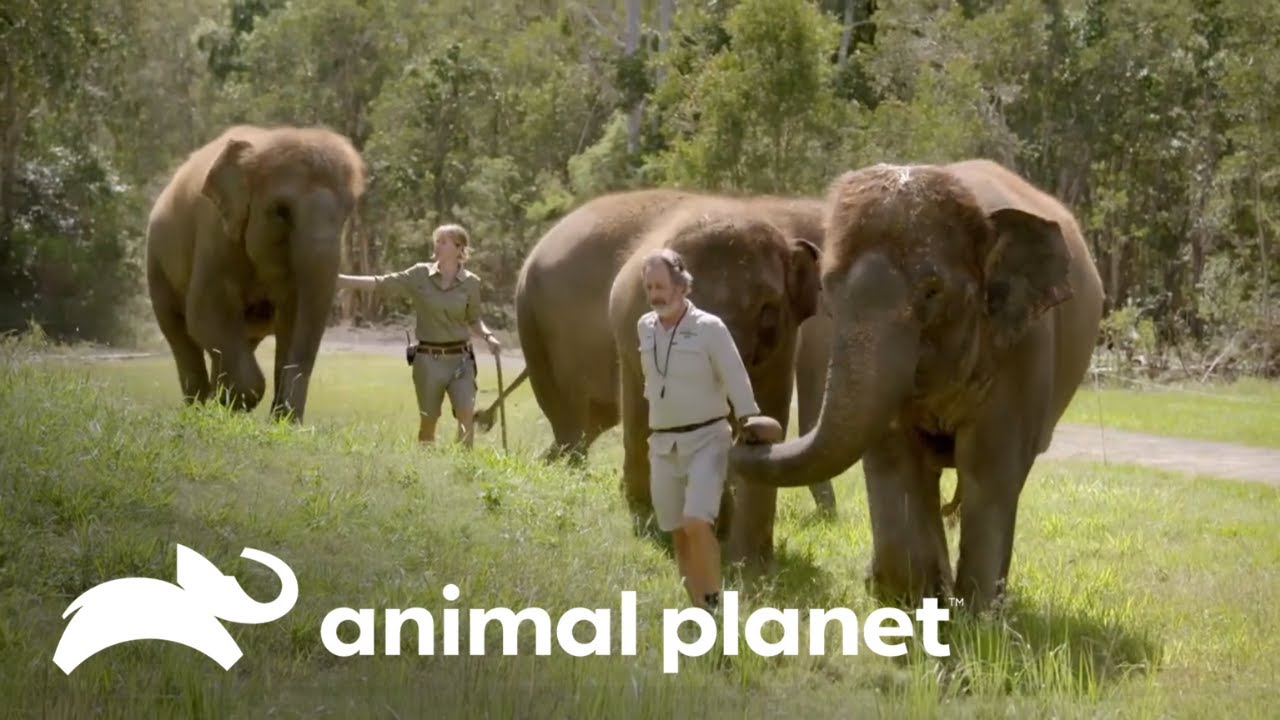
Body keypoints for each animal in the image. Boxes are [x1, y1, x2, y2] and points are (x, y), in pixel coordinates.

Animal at [145, 124, 366, 423]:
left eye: (347, 211)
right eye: (281, 212)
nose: (286, 420)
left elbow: (290, 320)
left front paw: (266, 419)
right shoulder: (215, 235)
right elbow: (205, 314)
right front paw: (232, 407)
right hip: (156, 263)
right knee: (179, 332)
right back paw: (200, 409)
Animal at [509, 188, 838, 512]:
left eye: (767, 311)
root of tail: (529, 262)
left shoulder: (788, 341)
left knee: (593, 419)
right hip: (554, 332)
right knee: (575, 421)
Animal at [728, 159, 1105, 613]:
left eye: (932, 291)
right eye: (827, 293)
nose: (754, 429)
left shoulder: (1024, 349)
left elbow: (988, 466)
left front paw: (976, 617)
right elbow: (893, 458)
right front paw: (910, 600)